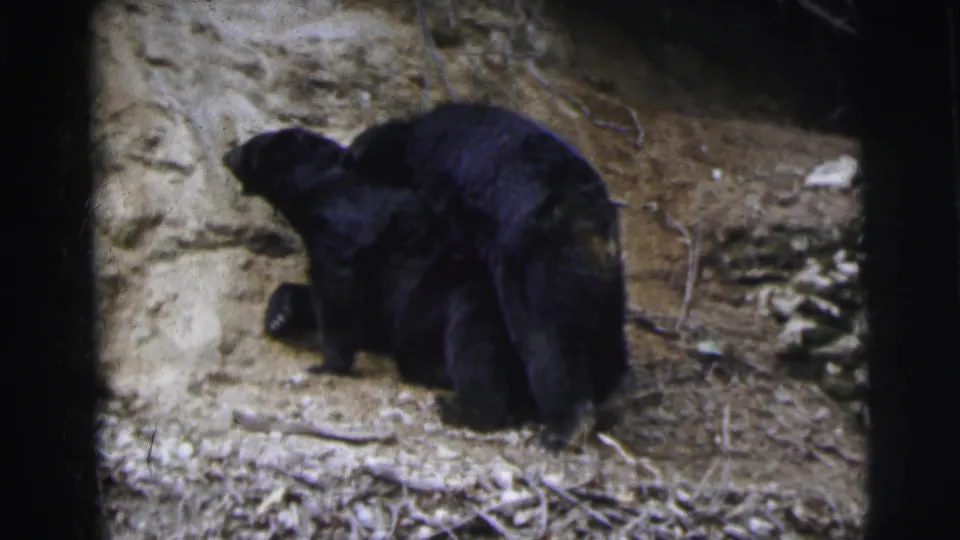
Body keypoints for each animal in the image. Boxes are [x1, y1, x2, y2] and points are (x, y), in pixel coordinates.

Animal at [222, 127, 537, 431]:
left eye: (250, 145)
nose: (227, 154)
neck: (320, 188)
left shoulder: (348, 232)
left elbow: (336, 293)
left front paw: (328, 363)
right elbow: (353, 310)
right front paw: (278, 316)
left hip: (465, 294)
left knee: (473, 347)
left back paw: (461, 408)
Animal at [337, 102, 632, 450]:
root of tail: (591, 225)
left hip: (536, 259)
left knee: (546, 340)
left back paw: (562, 424)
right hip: (605, 279)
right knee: (604, 332)